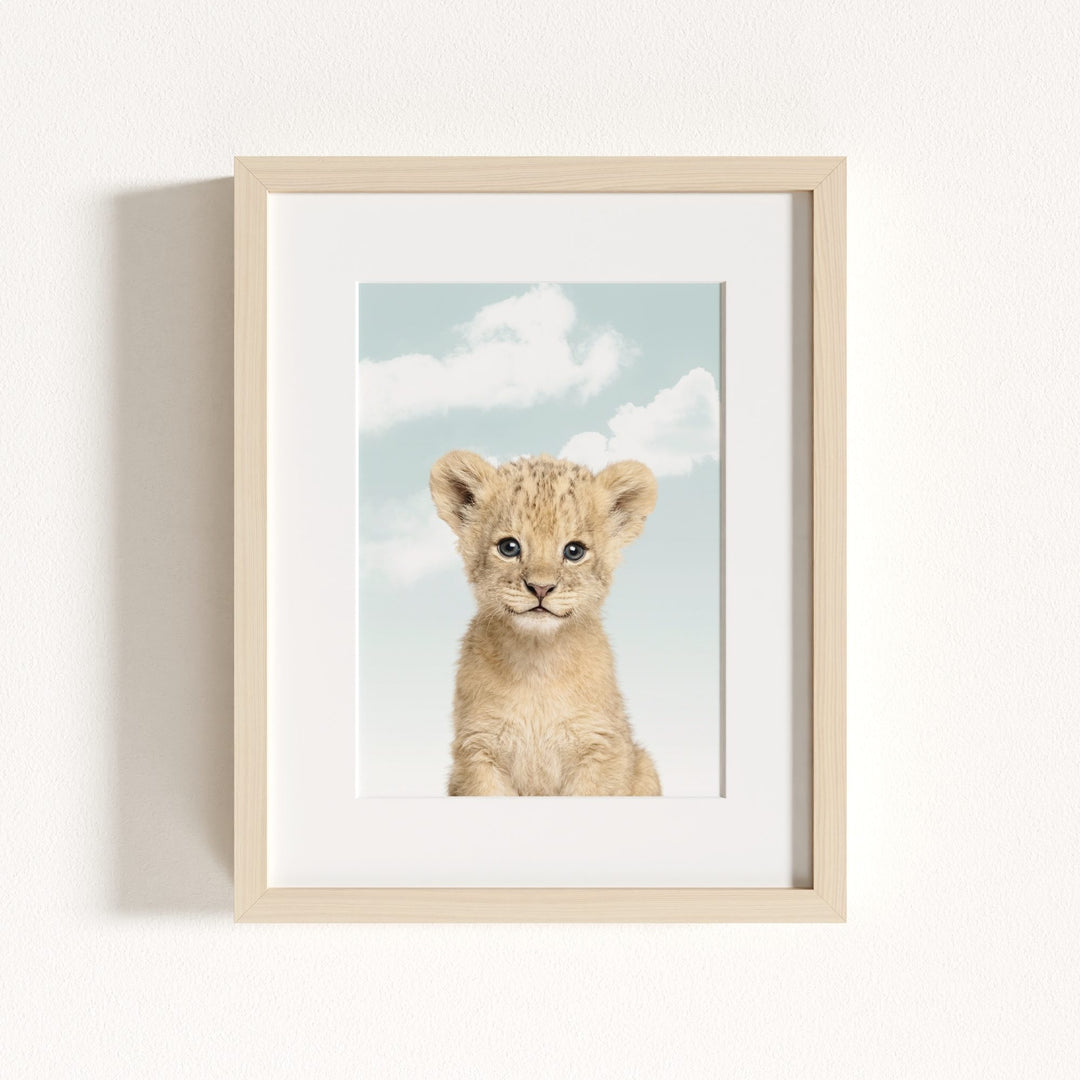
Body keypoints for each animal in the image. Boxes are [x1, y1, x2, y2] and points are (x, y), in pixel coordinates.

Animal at [429, 451, 661, 796]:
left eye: (574, 551)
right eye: (509, 547)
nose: (540, 588)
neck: (537, 663)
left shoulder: (602, 749)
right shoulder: (478, 751)